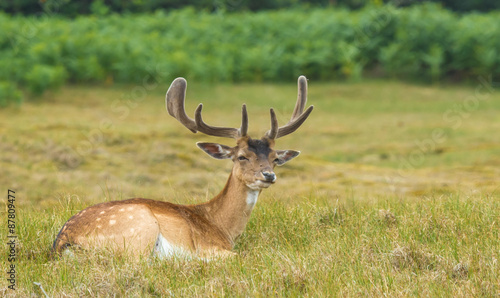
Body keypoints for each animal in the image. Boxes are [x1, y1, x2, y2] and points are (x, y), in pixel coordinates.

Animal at [53, 75, 312, 260]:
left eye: (275, 158)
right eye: (241, 157)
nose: (268, 175)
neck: (221, 227)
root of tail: (63, 242)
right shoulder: (211, 247)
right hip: (139, 228)